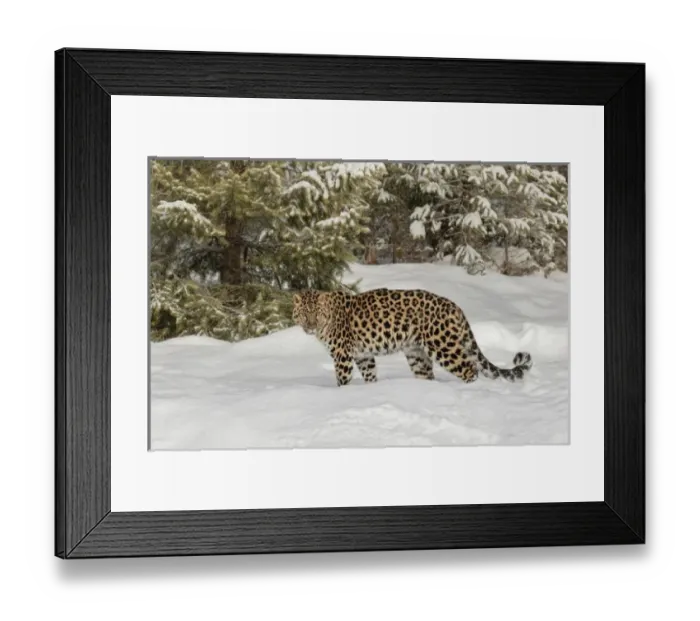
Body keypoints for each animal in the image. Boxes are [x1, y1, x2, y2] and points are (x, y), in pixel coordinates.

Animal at [292, 288, 533, 386]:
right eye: (304, 314)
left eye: (316, 314)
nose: (310, 326)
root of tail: (455, 306)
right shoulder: (363, 355)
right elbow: (370, 376)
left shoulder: (342, 355)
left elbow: (342, 380)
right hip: (417, 354)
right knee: (428, 376)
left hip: (443, 346)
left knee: (469, 369)